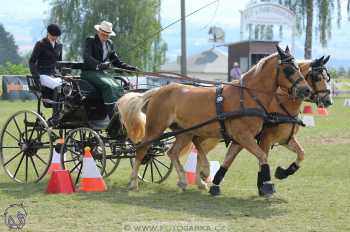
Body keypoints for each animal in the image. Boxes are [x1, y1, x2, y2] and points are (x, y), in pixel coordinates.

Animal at [118, 46, 312, 197]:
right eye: (289, 69)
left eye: (299, 68)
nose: (306, 90)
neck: (247, 96)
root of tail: (158, 90)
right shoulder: (244, 136)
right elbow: (262, 156)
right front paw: (268, 187)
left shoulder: (240, 139)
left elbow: (230, 160)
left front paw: (213, 184)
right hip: (155, 128)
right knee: (141, 150)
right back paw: (133, 182)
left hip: (185, 132)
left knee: (172, 152)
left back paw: (184, 181)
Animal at [191, 56, 334, 196]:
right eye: (317, 77)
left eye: (327, 78)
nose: (328, 101)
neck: (281, 104)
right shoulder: (265, 138)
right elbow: (262, 158)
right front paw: (264, 186)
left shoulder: (285, 139)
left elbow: (301, 153)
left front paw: (282, 173)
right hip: (210, 136)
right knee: (197, 149)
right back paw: (201, 178)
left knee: (196, 146)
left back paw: (200, 181)